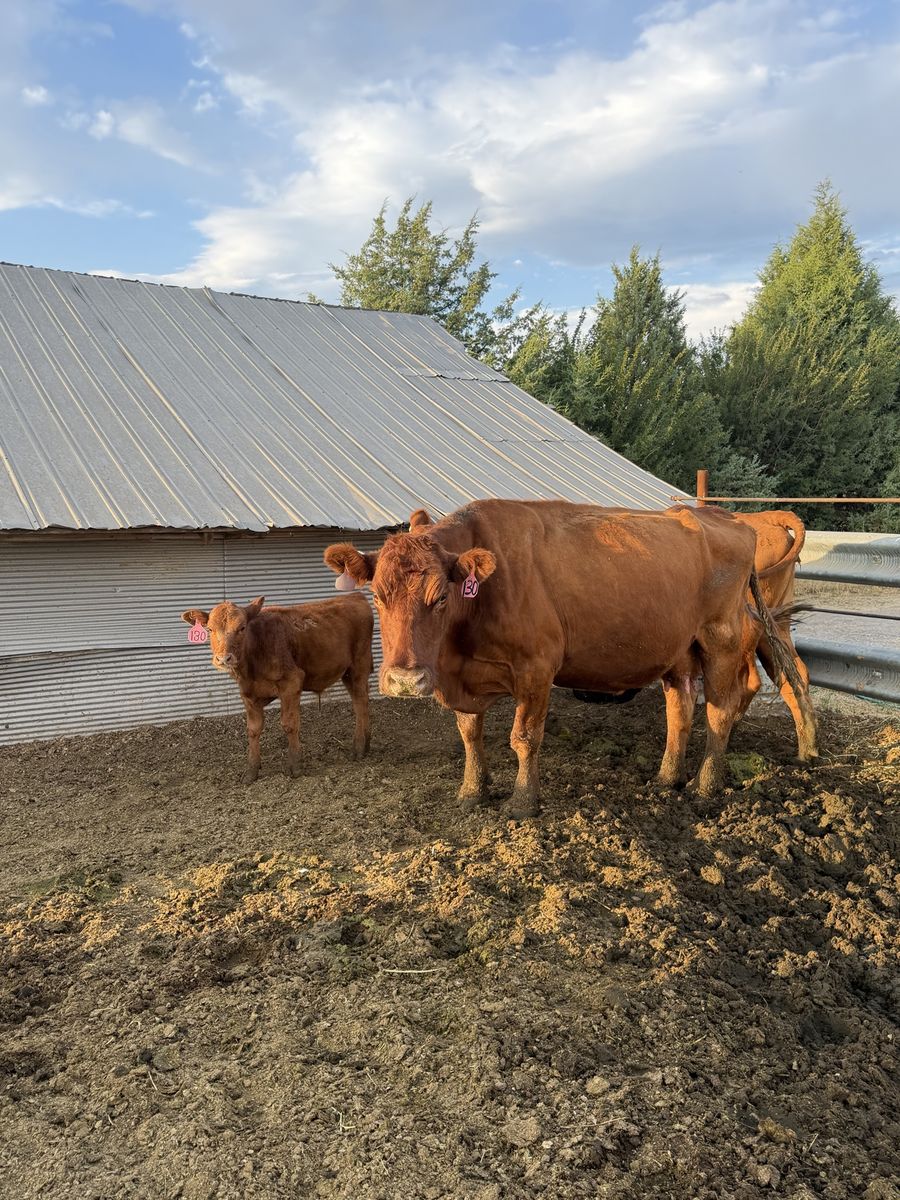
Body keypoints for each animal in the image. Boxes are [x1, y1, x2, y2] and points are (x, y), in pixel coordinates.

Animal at [180, 594, 373, 784]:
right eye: (210, 629)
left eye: (242, 628)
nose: (223, 658)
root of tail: (355, 596)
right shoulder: (248, 694)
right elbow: (253, 730)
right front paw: (251, 771)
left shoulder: (292, 682)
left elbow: (289, 724)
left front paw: (295, 766)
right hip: (347, 673)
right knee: (360, 701)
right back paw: (366, 742)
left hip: (359, 665)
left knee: (361, 702)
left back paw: (359, 748)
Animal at [324, 499, 788, 818]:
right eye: (377, 595)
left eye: (439, 598)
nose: (405, 681)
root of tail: (726, 518)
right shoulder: (465, 677)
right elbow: (470, 734)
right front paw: (472, 792)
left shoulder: (536, 668)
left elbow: (524, 738)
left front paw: (522, 802)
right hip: (679, 651)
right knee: (680, 711)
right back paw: (665, 778)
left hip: (720, 640)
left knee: (720, 712)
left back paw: (705, 787)